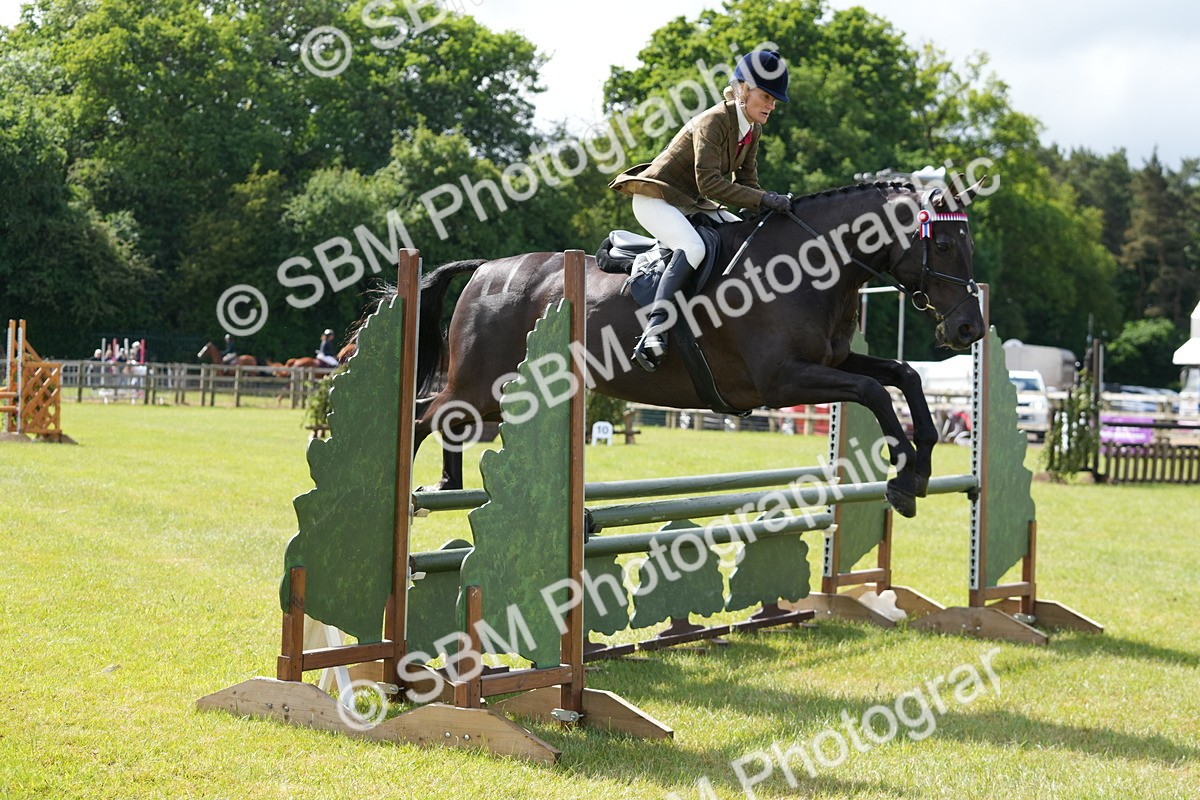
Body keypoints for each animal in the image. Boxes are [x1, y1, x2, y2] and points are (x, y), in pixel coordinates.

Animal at [371, 180, 986, 518]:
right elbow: (874, 393)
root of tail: (486, 269)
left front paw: (922, 466)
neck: (808, 266)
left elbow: (902, 377)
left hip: (504, 393)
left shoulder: (828, 361)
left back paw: (449, 486)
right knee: (427, 414)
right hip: (483, 386)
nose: (969, 331)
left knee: (442, 418)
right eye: (944, 244)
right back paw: (417, 494)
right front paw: (903, 479)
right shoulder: (781, 379)